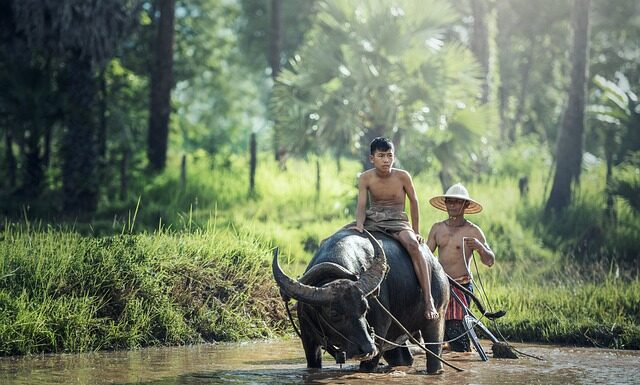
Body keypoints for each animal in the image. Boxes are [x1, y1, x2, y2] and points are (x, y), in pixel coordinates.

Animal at [272, 228, 450, 372]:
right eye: (334, 313)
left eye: (365, 308)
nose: (367, 348)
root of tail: (438, 267)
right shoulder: (308, 340)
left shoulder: (378, 335)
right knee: (403, 358)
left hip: (437, 317)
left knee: (434, 354)